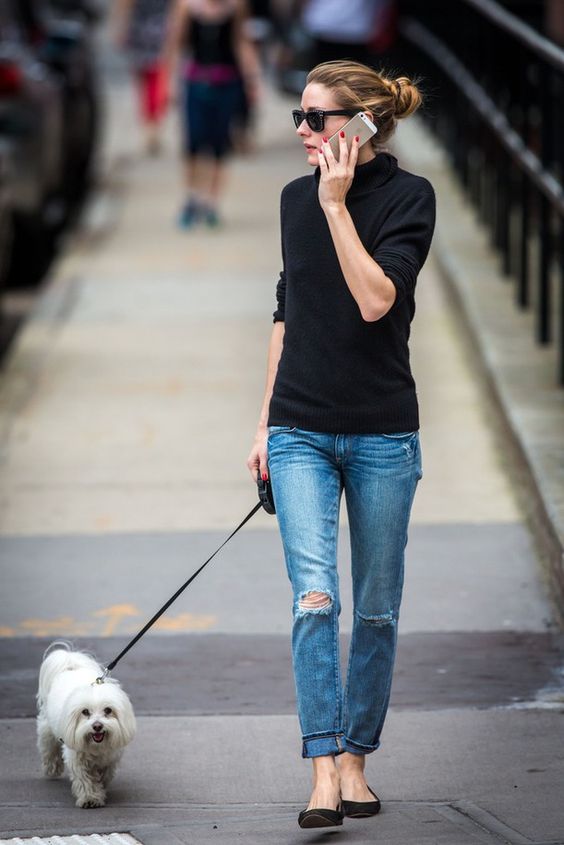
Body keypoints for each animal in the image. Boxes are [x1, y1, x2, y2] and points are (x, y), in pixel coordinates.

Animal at [36, 644, 135, 808]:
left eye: (108, 710)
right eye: (85, 712)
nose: (97, 726)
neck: (97, 746)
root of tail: (71, 665)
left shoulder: (111, 758)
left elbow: (104, 774)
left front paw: (100, 787)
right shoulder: (76, 758)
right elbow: (84, 779)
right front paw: (90, 798)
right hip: (47, 728)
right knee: (48, 746)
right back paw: (52, 768)